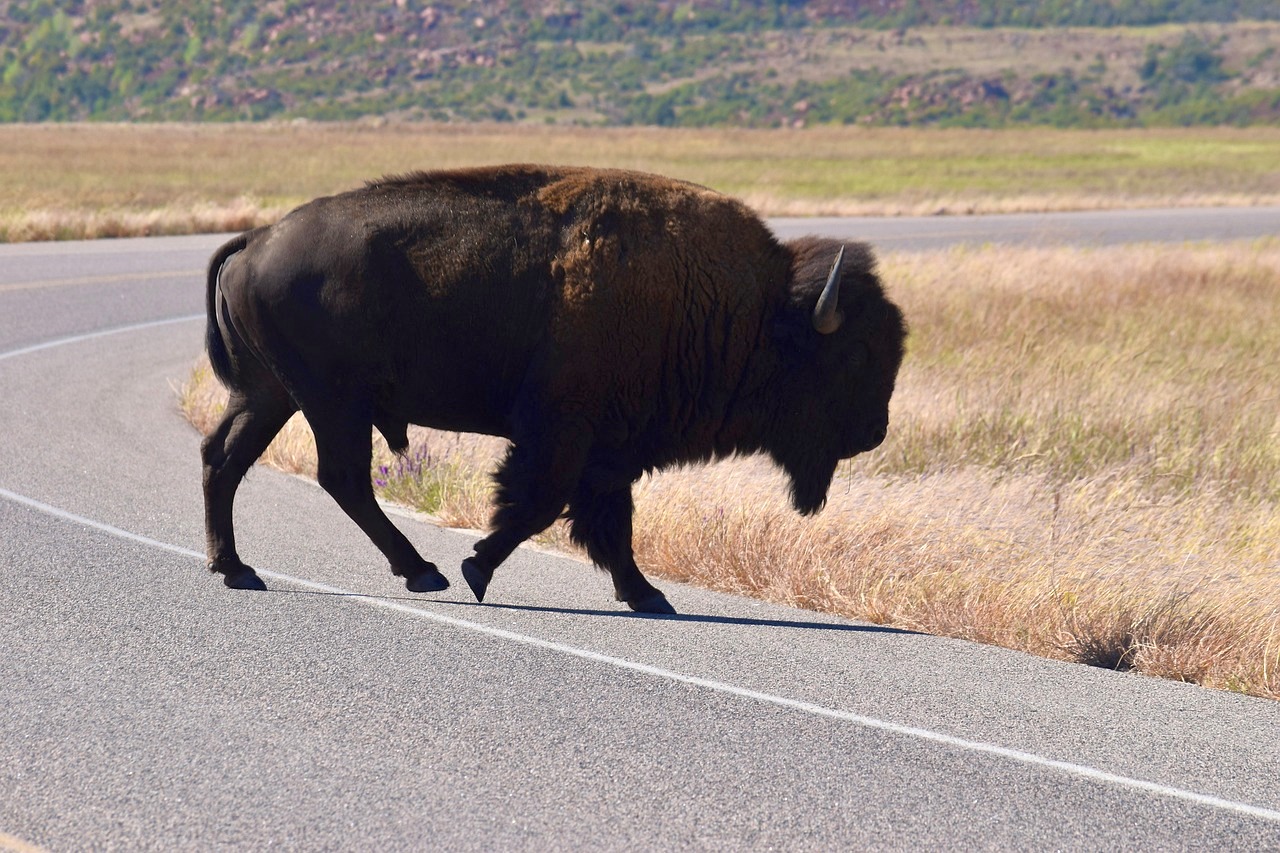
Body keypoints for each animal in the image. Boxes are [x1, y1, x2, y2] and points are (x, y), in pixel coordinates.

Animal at [202, 165, 906, 614]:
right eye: (855, 354)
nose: (875, 432)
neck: (747, 309)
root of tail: (257, 241)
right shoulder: (563, 432)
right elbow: (542, 504)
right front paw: (477, 569)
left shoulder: (612, 448)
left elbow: (608, 521)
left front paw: (647, 595)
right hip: (332, 402)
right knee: (341, 476)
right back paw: (424, 573)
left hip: (269, 396)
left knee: (223, 459)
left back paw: (237, 569)